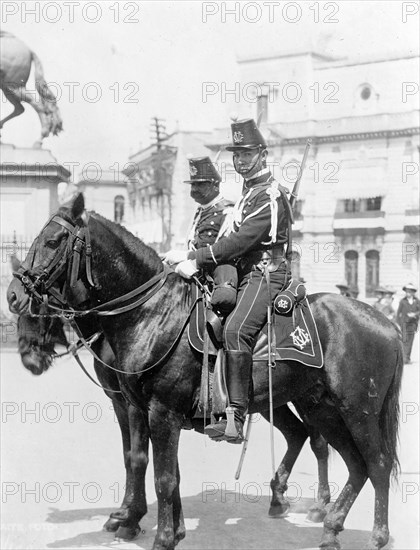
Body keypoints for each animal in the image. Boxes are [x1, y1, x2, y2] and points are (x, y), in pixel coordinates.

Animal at [9, 192, 404, 548]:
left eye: (53, 240)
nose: (14, 294)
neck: (154, 313)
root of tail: (387, 323)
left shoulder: (159, 412)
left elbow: (161, 475)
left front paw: (158, 534)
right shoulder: (138, 407)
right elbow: (148, 463)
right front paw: (154, 525)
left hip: (358, 412)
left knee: (377, 463)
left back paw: (375, 533)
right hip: (321, 408)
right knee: (348, 460)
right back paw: (329, 526)